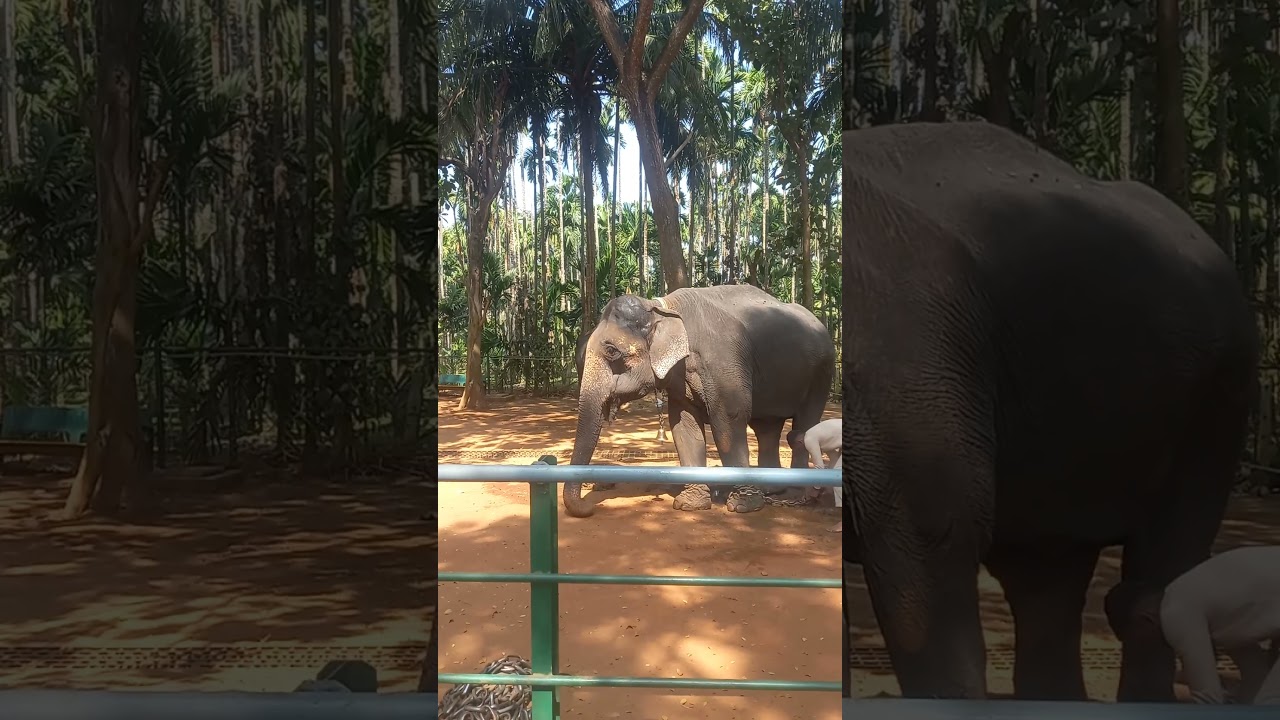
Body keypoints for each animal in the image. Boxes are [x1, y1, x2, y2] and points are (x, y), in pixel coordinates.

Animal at [566, 284, 836, 518]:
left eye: (611, 351)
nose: (590, 508)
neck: (662, 306)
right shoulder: (679, 378)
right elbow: (683, 425)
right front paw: (690, 504)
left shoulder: (724, 363)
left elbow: (729, 421)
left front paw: (743, 505)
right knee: (766, 428)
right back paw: (771, 488)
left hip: (822, 372)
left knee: (804, 423)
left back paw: (796, 491)